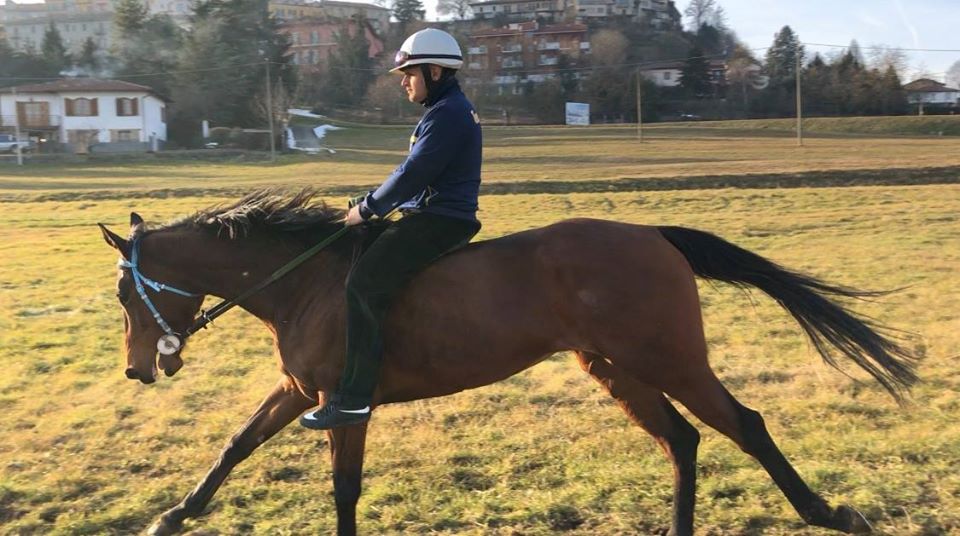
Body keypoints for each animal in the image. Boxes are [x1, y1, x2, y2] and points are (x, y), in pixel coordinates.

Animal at [97, 191, 916, 532]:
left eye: (125, 294)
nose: (139, 370)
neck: (305, 279)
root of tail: (653, 234)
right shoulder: (300, 392)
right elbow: (236, 445)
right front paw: (172, 515)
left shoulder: (340, 403)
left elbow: (343, 490)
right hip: (616, 367)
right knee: (682, 440)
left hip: (669, 359)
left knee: (744, 424)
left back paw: (828, 514)